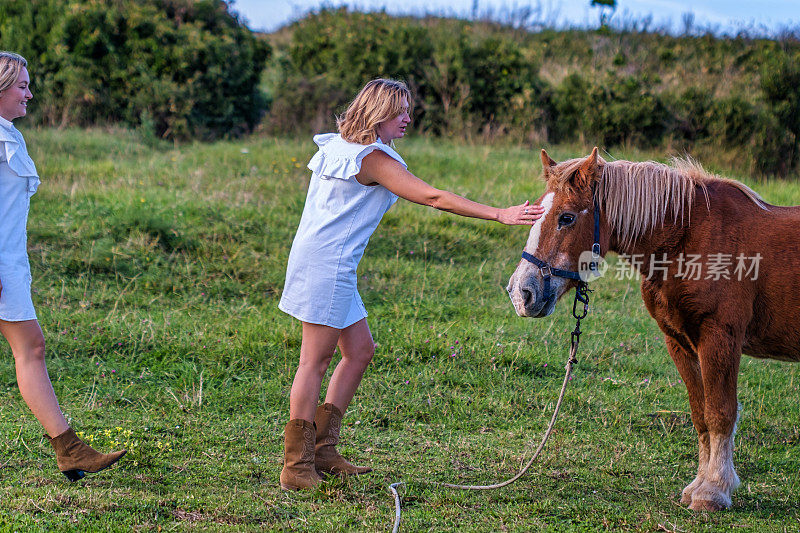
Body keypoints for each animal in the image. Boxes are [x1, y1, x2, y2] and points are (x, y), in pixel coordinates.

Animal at [506, 148, 800, 510]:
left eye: (567, 218)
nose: (521, 292)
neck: (688, 239)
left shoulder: (720, 339)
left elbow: (720, 413)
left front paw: (713, 491)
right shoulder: (681, 342)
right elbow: (701, 415)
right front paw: (698, 485)